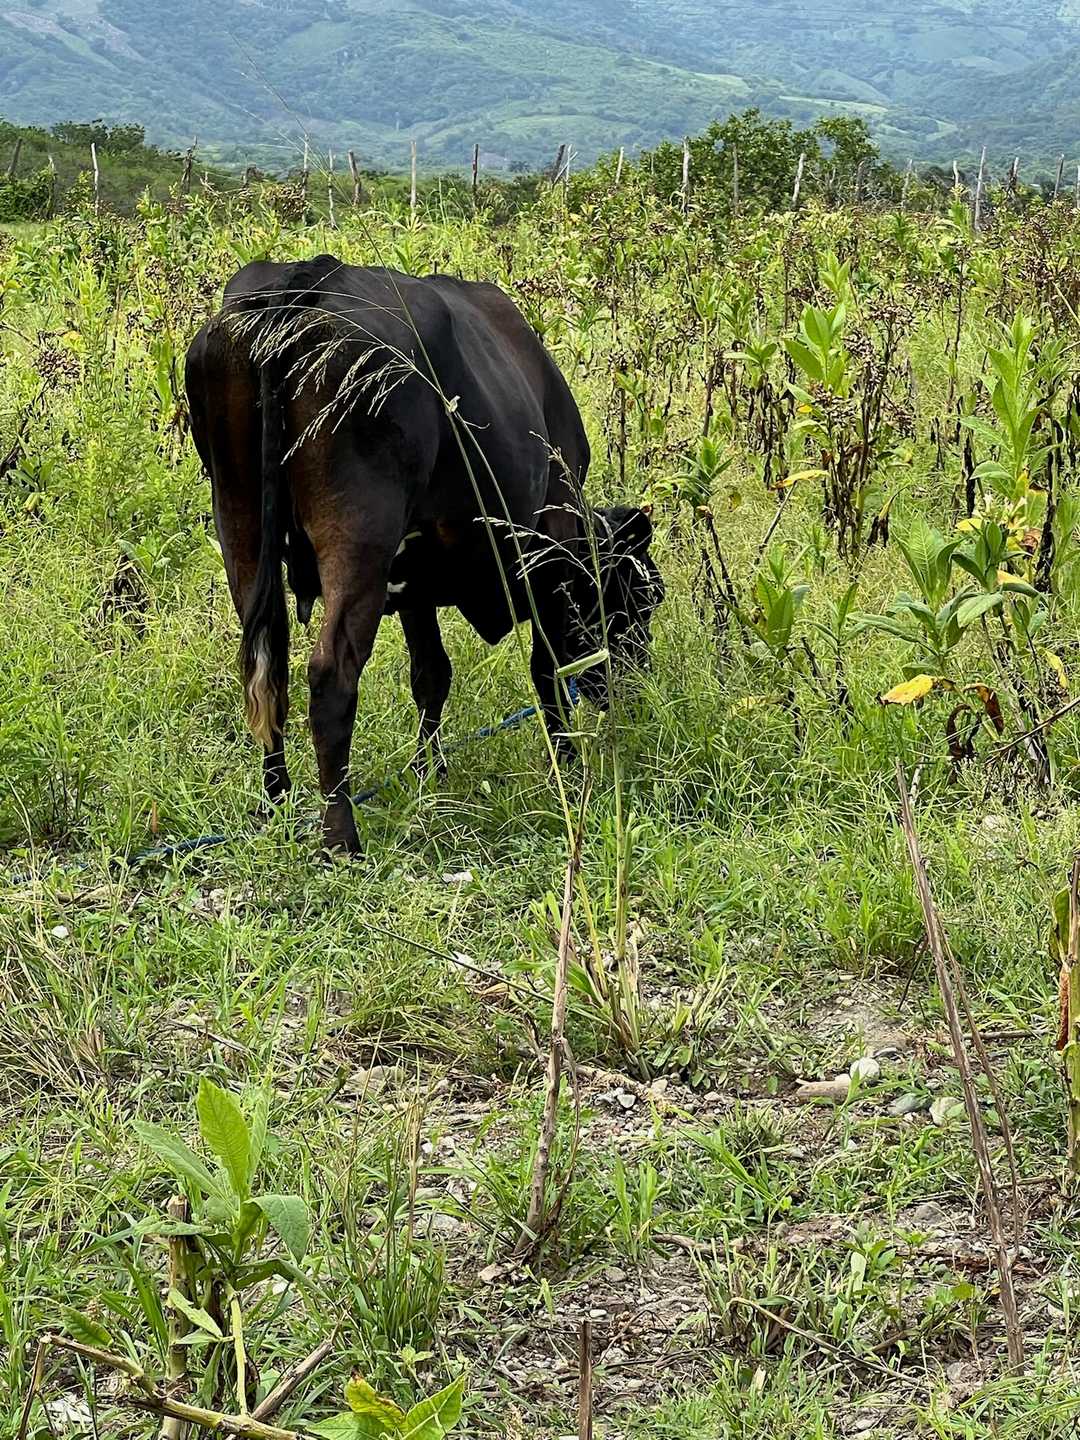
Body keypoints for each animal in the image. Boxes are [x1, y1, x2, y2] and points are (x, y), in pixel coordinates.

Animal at [185, 255, 663, 854]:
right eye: (643, 600)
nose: (637, 690)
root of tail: (304, 279)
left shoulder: (413, 580)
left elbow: (431, 673)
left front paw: (428, 774)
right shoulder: (550, 556)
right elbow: (549, 672)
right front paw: (571, 772)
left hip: (241, 522)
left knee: (267, 670)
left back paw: (277, 804)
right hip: (360, 535)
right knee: (330, 675)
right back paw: (340, 837)